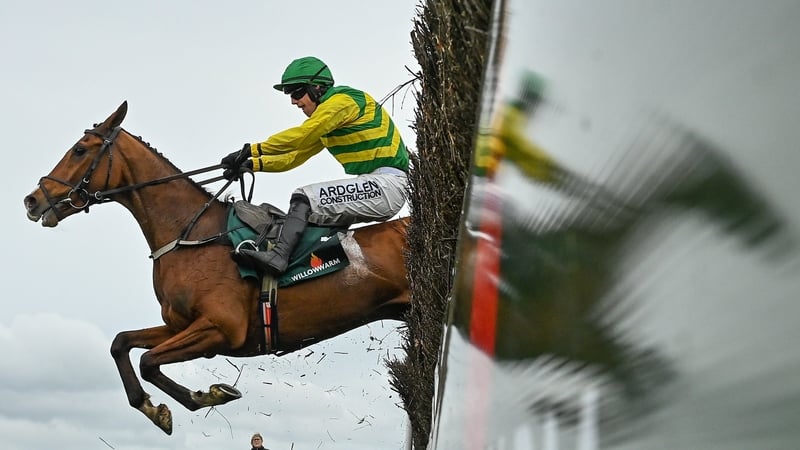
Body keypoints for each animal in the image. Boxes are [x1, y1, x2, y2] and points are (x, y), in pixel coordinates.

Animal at [23, 101, 410, 435]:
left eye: (80, 149)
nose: (32, 200)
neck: (190, 234)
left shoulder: (220, 327)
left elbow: (148, 361)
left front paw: (208, 394)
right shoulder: (180, 325)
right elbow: (121, 344)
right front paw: (152, 407)